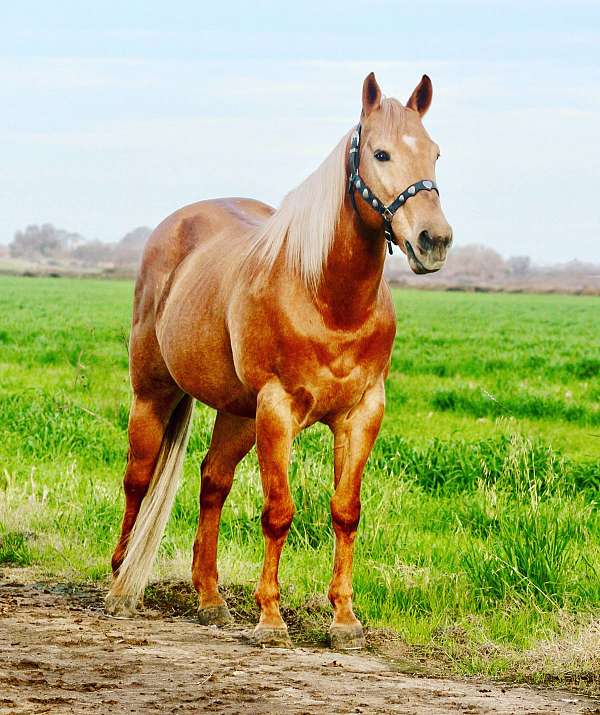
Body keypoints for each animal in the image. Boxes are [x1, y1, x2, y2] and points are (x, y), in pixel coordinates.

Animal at [106, 71, 450, 648]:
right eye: (380, 153)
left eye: (435, 154)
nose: (434, 240)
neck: (329, 301)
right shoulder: (278, 409)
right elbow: (278, 512)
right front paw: (270, 618)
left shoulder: (362, 414)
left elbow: (345, 511)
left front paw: (344, 620)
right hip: (154, 393)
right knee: (138, 477)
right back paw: (118, 583)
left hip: (237, 413)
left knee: (213, 482)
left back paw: (210, 599)